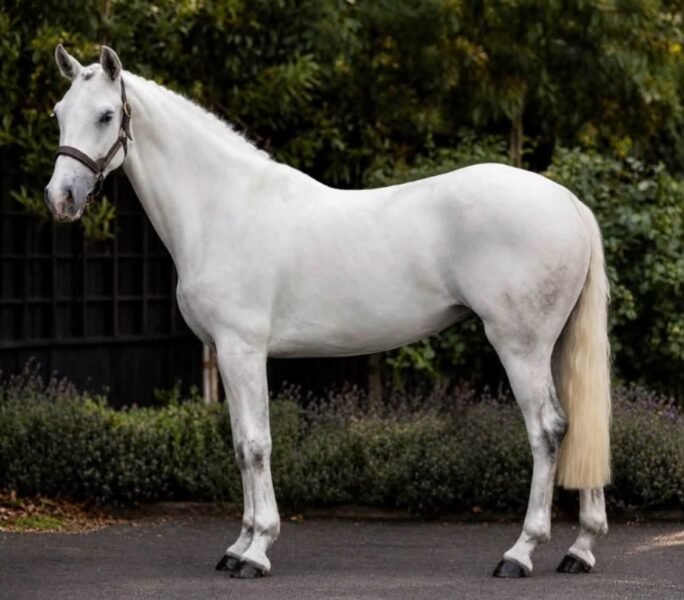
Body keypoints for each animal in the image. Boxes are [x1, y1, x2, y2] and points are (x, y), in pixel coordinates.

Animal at [45, 45, 611, 579]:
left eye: (106, 116)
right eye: (58, 113)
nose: (60, 198)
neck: (222, 207)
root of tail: (567, 201)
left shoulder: (243, 350)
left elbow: (256, 444)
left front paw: (257, 551)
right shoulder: (225, 356)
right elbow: (239, 444)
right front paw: (237, 546)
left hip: (520, 345)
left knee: (547, 430)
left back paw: (520, 553)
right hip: (554, 346)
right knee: (580, 424)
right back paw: (580, 550)